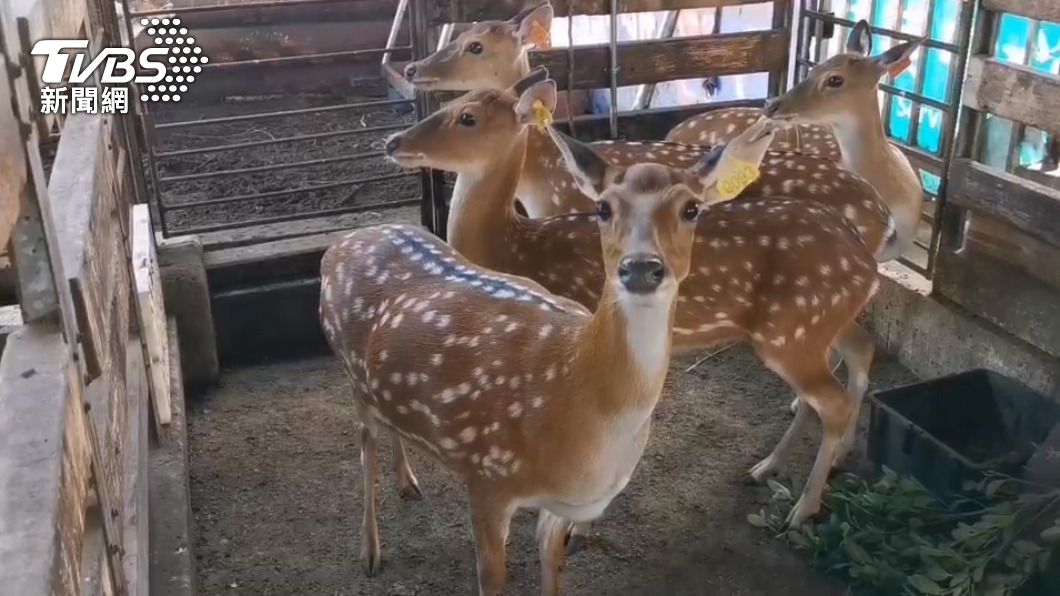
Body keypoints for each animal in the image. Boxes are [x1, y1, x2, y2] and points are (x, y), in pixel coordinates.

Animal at [319, 160, 705, 594]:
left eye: (692, 208)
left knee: (390, 426)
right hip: (350, 371)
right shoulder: (487, 478)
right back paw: (370, 552)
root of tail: (337, 245)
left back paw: (408, 482)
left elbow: (552, 567)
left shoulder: (559, 505)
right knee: (364, 445)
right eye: (602, 208)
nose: (641, 268)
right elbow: (492, 578)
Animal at [385, 73, 881, 540]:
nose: (394, 142)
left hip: (793, 331)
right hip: (818, 325)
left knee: (833, 400)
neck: (514, 249)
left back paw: (803, 508)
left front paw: (579, 528)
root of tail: (869, 262)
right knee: (856, 355)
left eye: (467, 117)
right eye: (453, 100)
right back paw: (777, 465)